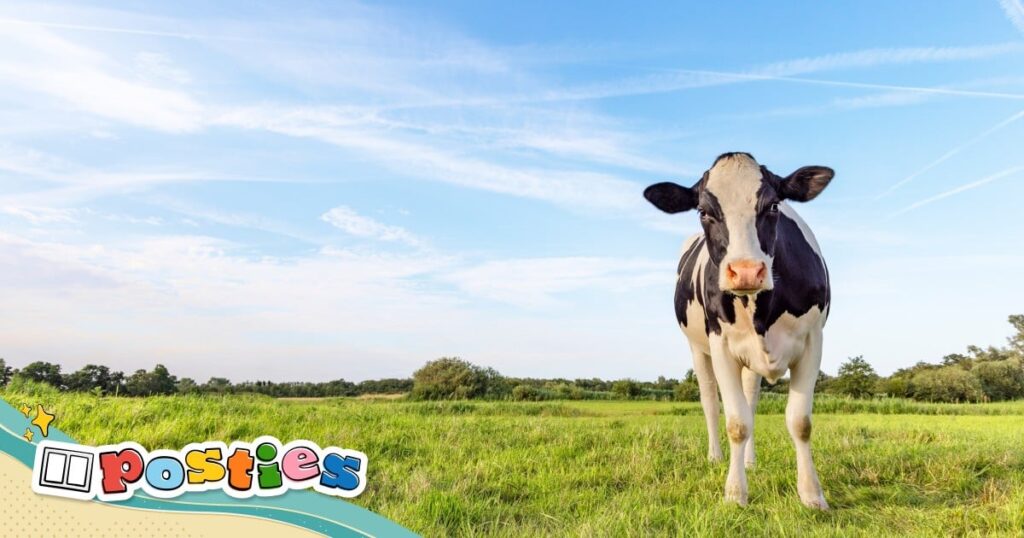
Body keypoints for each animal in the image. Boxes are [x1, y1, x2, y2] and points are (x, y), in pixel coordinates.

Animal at [643, 152, 833, 509]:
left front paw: (812, 494)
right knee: (709, 400)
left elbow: (799, 422)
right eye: (704, 211)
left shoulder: (813, 340)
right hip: (698, 349)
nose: (745, 272)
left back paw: (749, 460)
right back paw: (716, 456)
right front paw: (735, 494)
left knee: (751, 400)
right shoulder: (721, 345)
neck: (761, 311)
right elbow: (736, 422)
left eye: (772, 205)